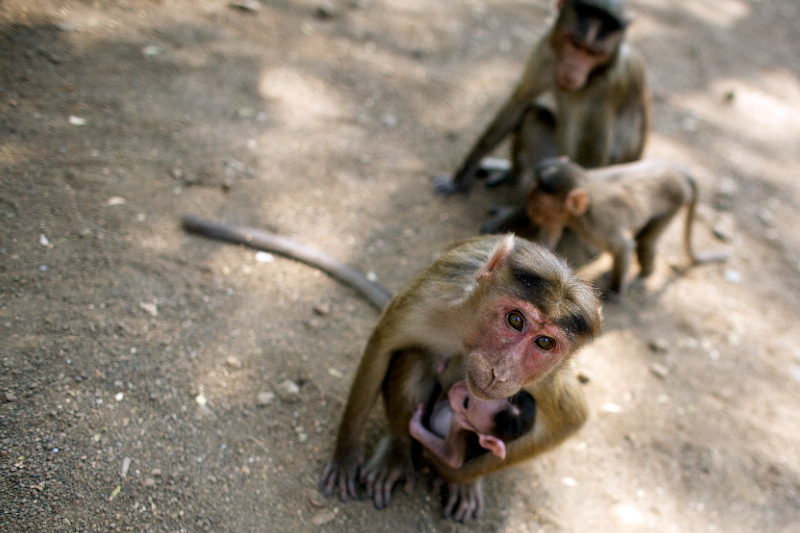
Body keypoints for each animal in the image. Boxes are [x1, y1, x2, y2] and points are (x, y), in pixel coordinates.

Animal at [432, 0, 648, 233]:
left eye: (595, 53)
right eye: (575, 43)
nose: (573, 70)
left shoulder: (607, 86)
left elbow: (589, 165)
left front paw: (513, 218)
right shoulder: (545, 50)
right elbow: (518, 104)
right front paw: (461, 178)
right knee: (532, 115)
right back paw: (509, 173)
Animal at [524, 158, 732, 300]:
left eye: (536, 207)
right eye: (531, 201)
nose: (529, 212)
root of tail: (680, 171)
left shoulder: (598, 226)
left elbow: (624, 247)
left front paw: (616, 291)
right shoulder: (560, 217)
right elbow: (550, 235)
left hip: (675, 201)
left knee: (645, 241)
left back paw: (643, 274)